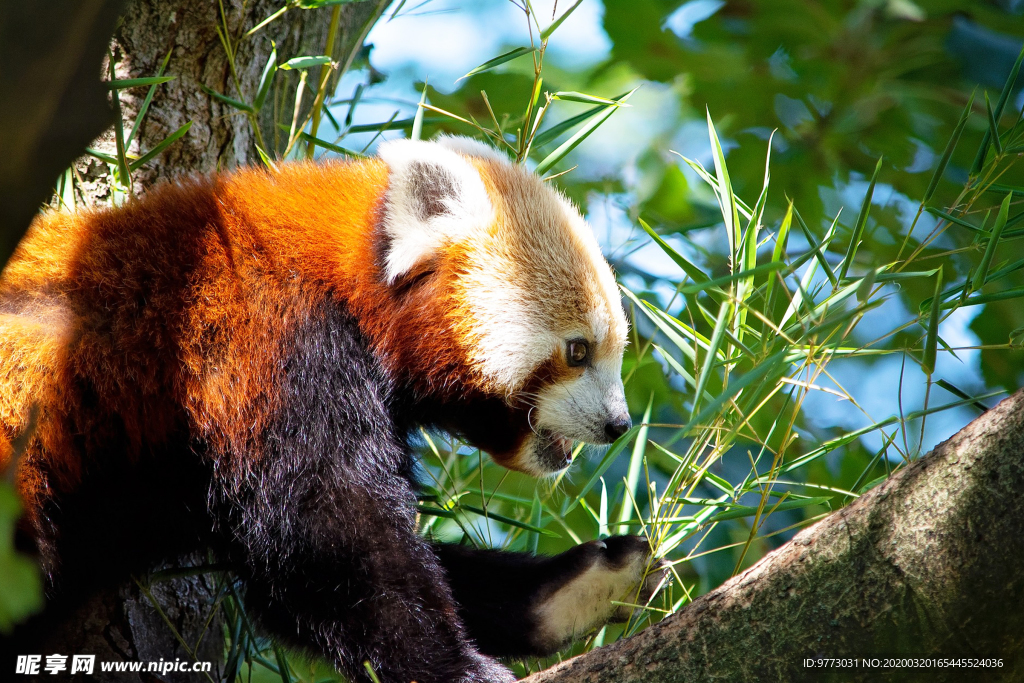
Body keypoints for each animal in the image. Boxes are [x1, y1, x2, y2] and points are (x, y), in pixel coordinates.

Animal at [0, 137, 663, 683]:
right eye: (578, 351)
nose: (618, 425)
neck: (346, 287)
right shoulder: (273, 352)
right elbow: (333, 544)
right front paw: (457, 668)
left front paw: (572, 588)